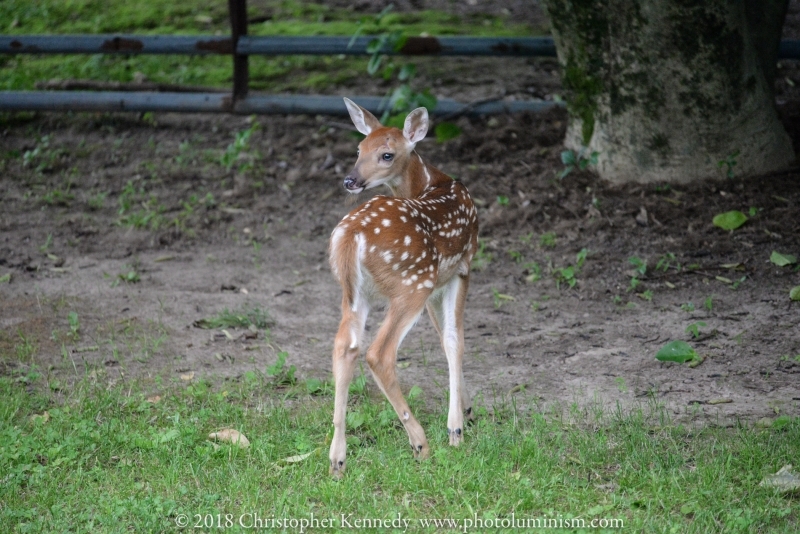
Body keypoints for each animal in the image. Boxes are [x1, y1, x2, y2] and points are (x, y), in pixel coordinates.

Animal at [326, 98, 478, 480]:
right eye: (359, 149)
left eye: (386, 154)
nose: (350, 179)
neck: (429, 184)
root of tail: (351, 235)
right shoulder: (461, 268)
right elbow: (454, 340)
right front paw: (457, 428)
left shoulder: (439, 280)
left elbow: (444, 337)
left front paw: (467, 410)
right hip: (410, 285)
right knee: (378, 353)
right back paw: (421, 444)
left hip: (356, 292)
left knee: (344, 346)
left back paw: (337, 459)